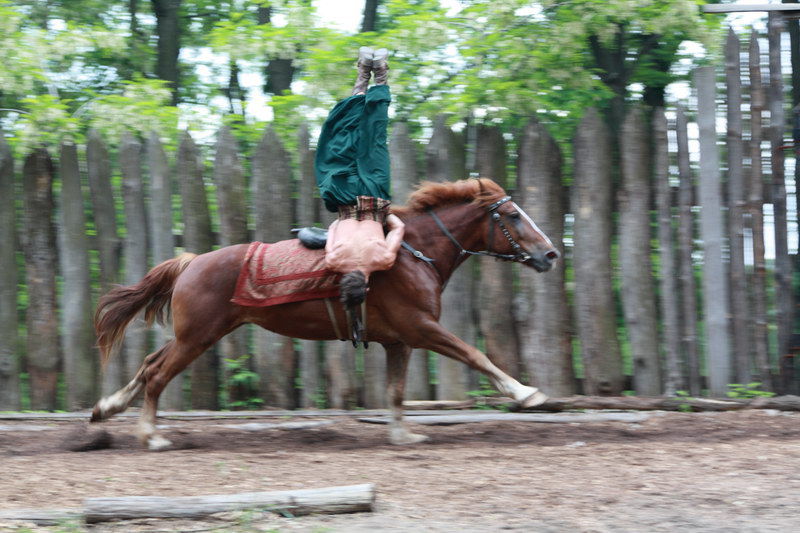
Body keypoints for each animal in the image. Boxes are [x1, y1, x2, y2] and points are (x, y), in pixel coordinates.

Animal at [92, 179, 556, 448]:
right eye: (512, 215)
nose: (551, 253)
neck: (411, 253)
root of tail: (191, 263)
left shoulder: (399, 341)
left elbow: (396, 391)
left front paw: (402, 434)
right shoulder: (422, 328)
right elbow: (476, 355)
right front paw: (526, 393)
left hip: (193, 335)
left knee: (149, 363)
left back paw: (108, 407)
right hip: (198, 337)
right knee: (157, 373)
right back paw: (151, 436)